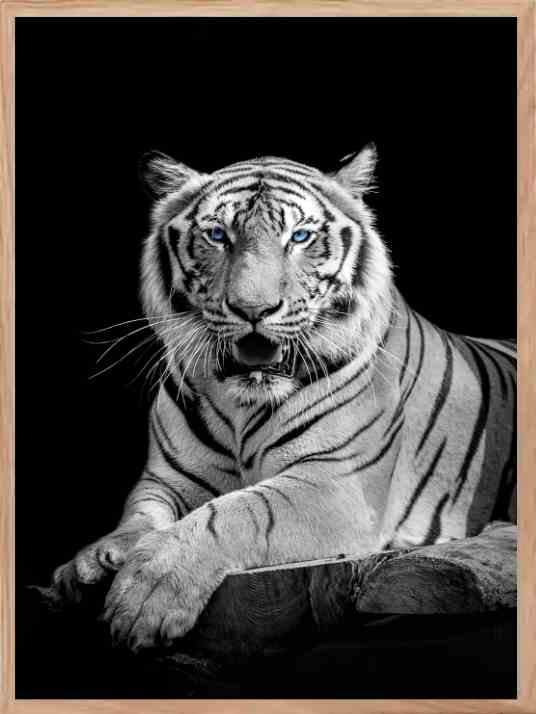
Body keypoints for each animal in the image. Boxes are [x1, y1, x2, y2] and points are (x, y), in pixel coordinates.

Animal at [52, 145, 517, 652]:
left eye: (300, 236)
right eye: (217, 235)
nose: (253, 310)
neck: (240, 404)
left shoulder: (334, 483)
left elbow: (237, 513)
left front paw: (148, 591)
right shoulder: (169, 479)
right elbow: (138, 516)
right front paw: (95, 560)